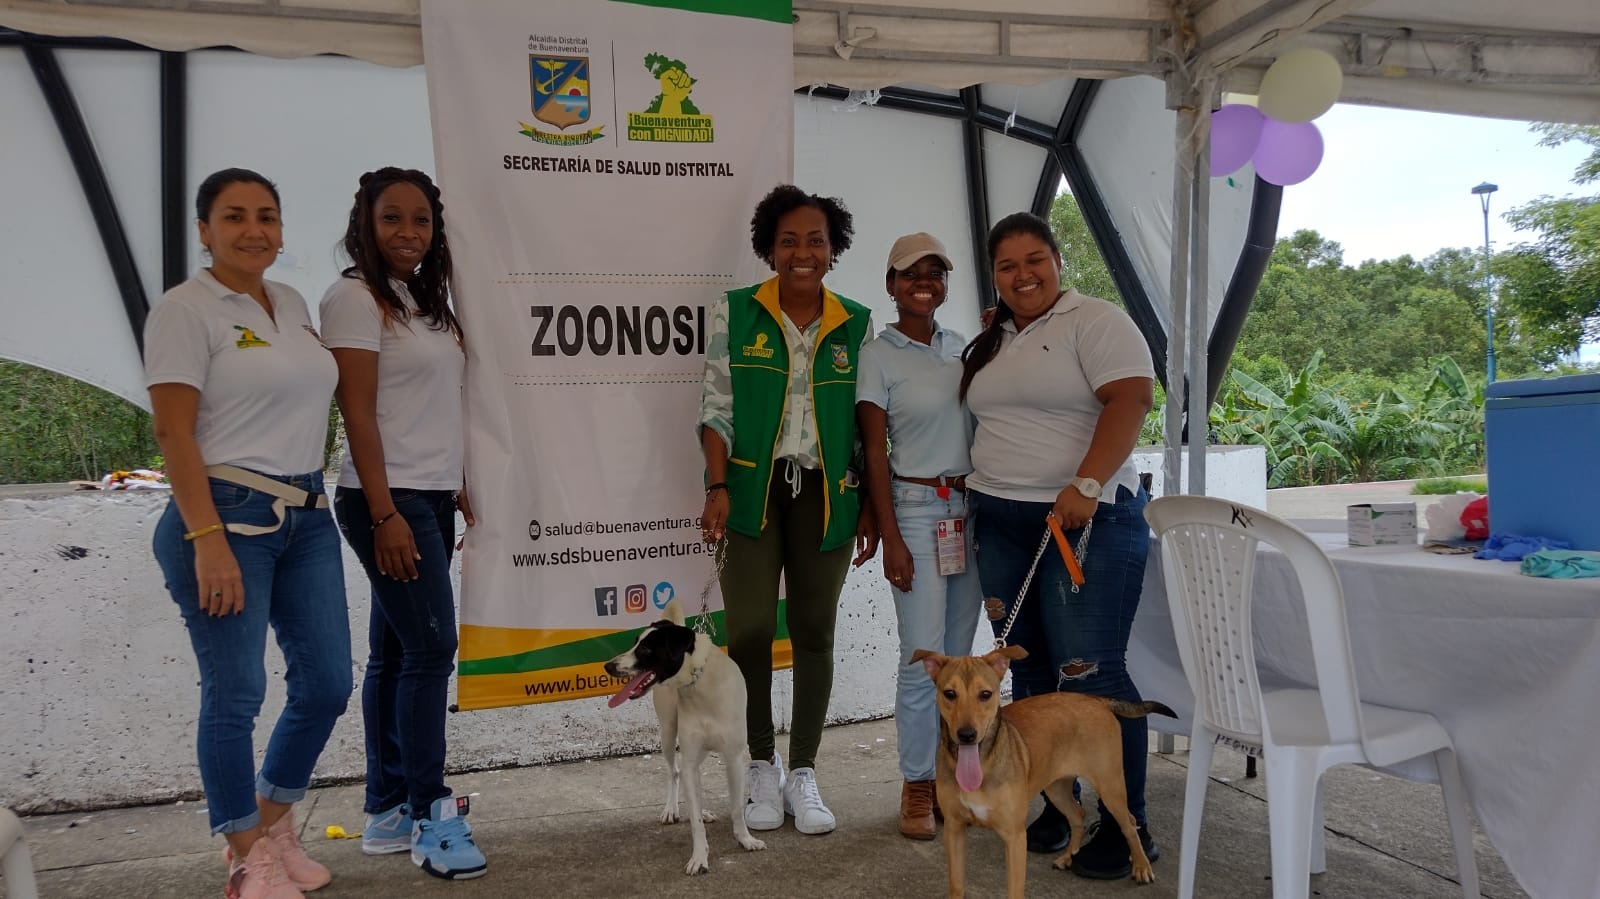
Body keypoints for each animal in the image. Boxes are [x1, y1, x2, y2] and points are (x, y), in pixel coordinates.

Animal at [604, 598, 768, 870]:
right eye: (635, 642)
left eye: (646, 649)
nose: (608, 666)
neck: (698, 684)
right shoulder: (690, 756)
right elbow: (694, 820)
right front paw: (699, 857)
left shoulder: (733, 759)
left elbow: (735, 808)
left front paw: (745, 840)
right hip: (668, 733)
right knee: (675, 771)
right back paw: (672, 809)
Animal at [915, 643, 1177, 895]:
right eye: (949, 694)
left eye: (985, 694)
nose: (966, 735)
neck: (982, 761)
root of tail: (1096, 699)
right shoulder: (954, 829)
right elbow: (956, 884)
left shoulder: (1015, 836)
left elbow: (1014, 890)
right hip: (1056, 788)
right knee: (1078, 815)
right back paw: (1067, 857)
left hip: (1110, 785)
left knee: (1129, 822)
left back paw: (1142, 867)